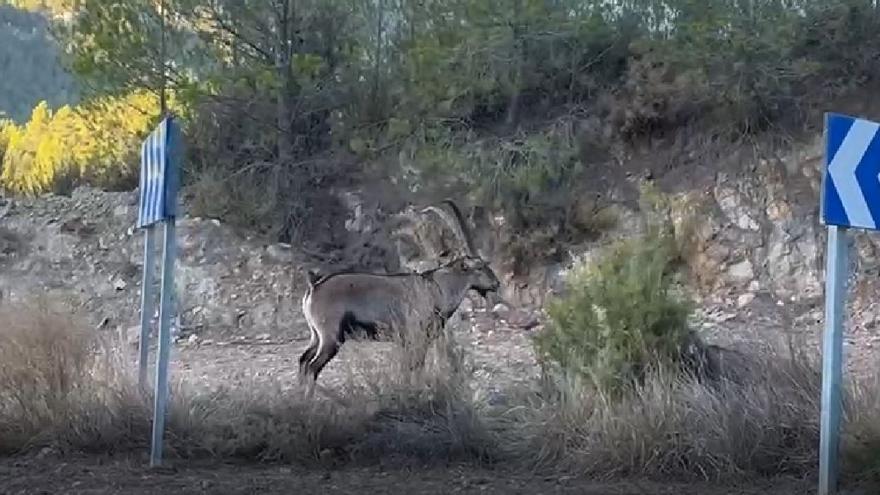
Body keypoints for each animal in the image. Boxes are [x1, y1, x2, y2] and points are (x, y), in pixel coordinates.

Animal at [298, 199, 498, 392]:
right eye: (480, 266)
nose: (496, 283)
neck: (436, 287)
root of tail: (315, 285)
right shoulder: (416, 337)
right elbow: (414, 367)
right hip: (330, 338)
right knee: (312, 367)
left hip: (316, 336)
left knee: (303, 360)